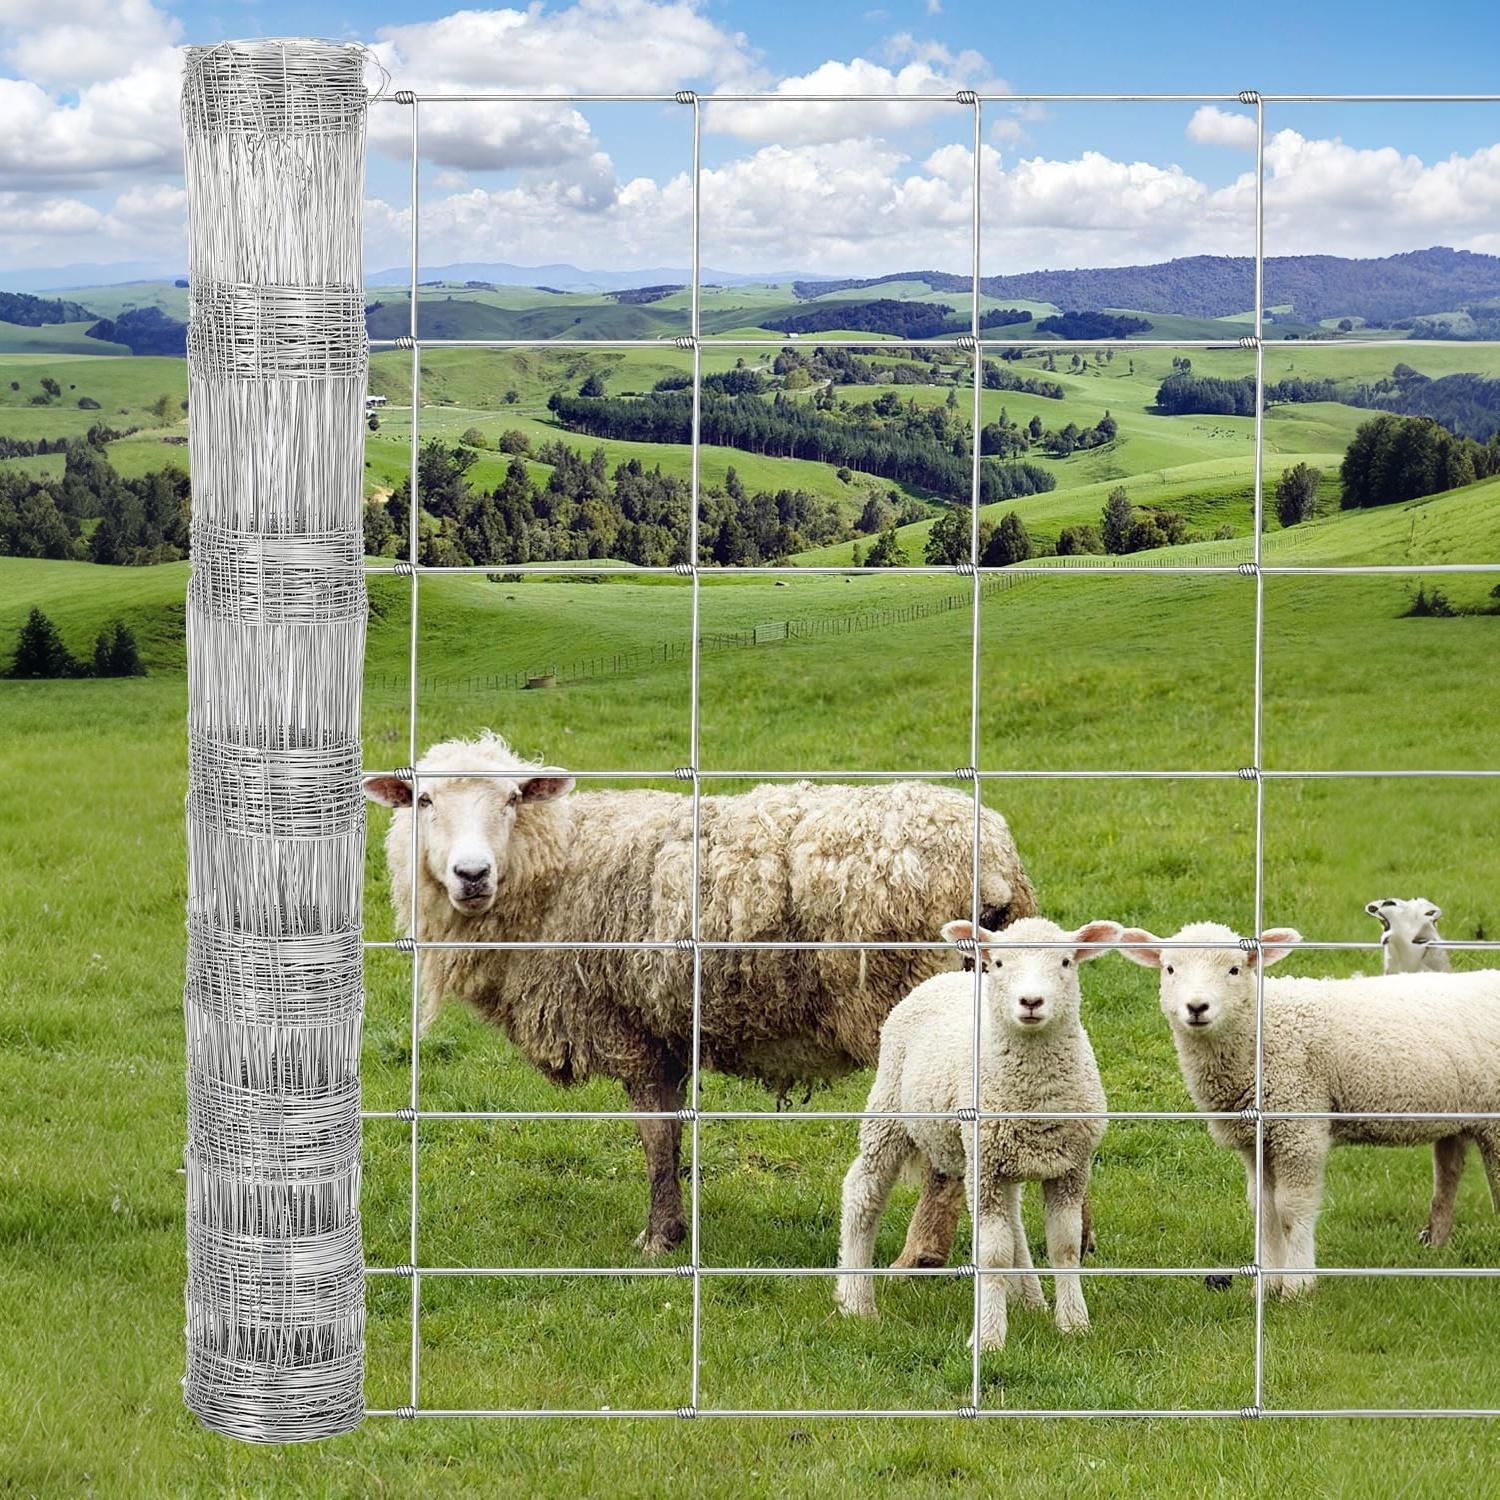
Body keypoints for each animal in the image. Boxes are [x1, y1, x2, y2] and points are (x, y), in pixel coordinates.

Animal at [364, 731, 1038, 1258]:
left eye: (510, 800)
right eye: (424, 800)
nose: (471, 875)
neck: (555, 871)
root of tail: (995, 867)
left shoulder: (626, 1027)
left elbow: (655, 1136)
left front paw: (658, 1238)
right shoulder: (664, 1028)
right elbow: (670, 1132)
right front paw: (674, 1227)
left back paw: (920, 1253)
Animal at [834, 916, 1121, 1349]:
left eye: (1066, 962)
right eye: (1000, 962)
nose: (1031, 1002)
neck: (1035, 1096)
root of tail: (954, 975)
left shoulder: (1070, 1168)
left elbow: (1065, 1245)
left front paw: (1073, 1323)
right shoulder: (984, 1169)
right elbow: (992, 1254)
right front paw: (988, 1337)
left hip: (998, 1154)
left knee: (1014, 1221)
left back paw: (1030, 1299)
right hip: (890, 1109)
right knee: (862, 1192)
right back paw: (856, 1302)